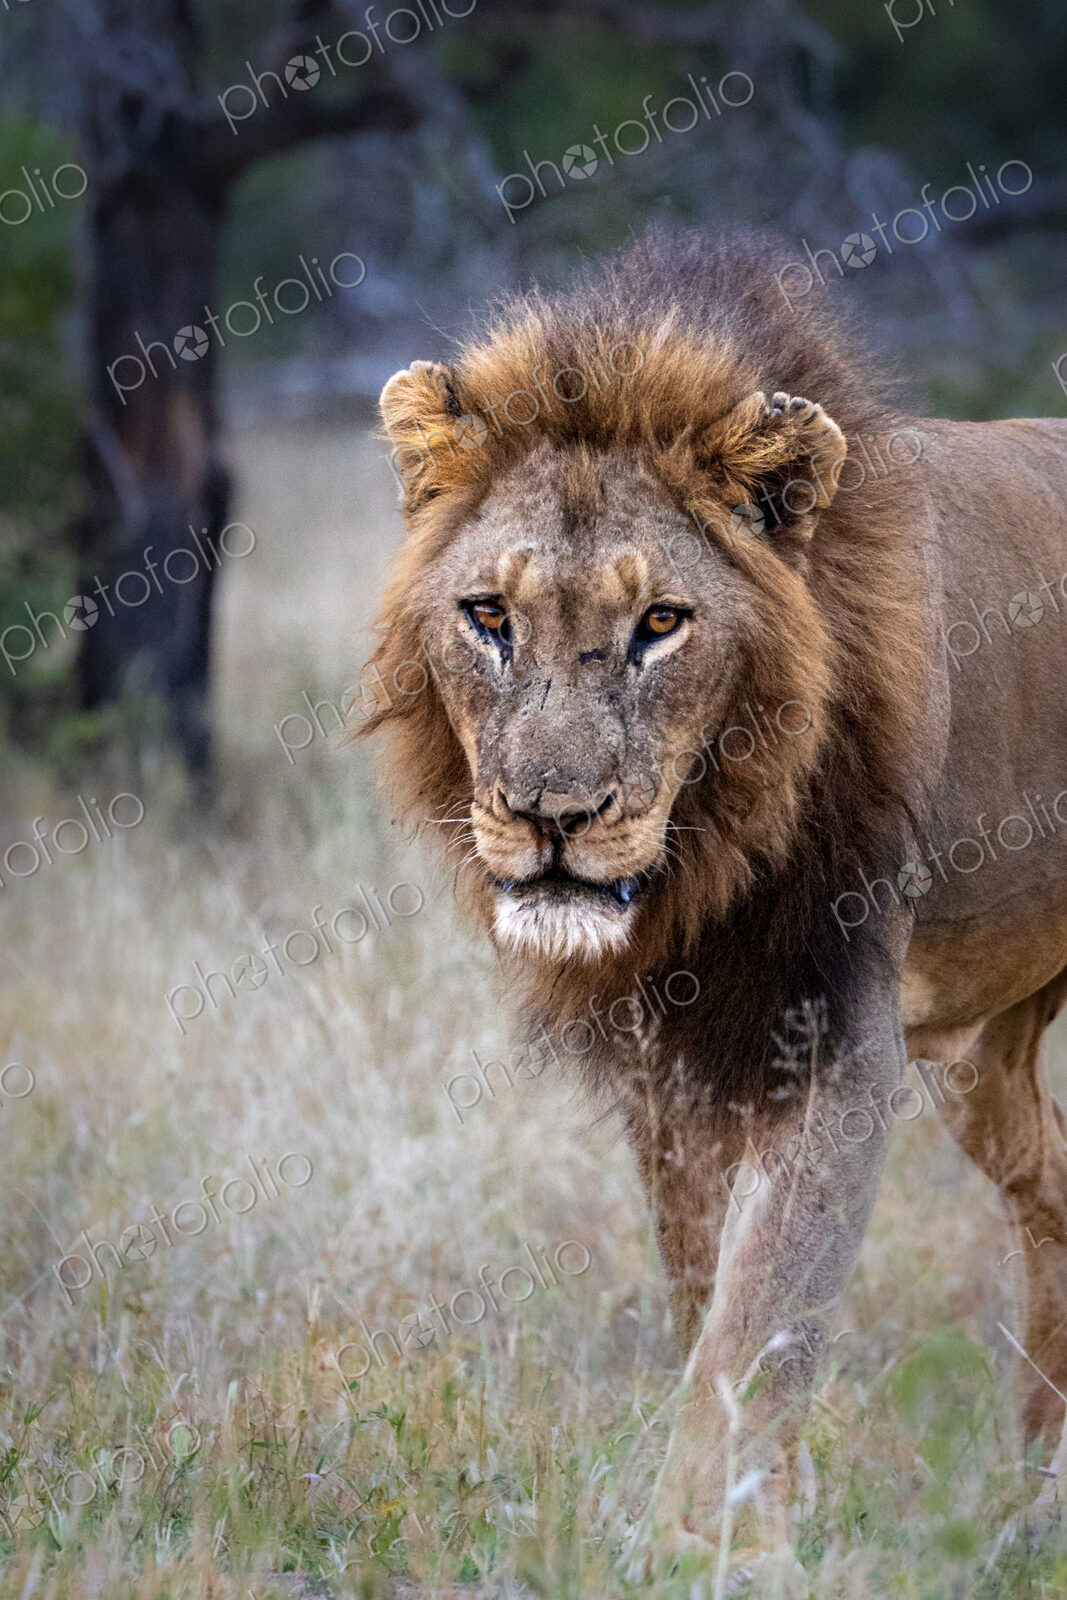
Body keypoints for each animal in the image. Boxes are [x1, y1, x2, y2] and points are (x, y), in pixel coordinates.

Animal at [359, 227, 1067, 1578]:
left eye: (659, 623)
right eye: (488, 616)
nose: (552, 817)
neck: (713, 857)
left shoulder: (835, 1042)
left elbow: (757, 1322)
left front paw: (710, 1547)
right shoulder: (672, 1068)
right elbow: (706, 1302)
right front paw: (751, 1519)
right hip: (978, 1052)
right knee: (1053, 1181)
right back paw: (1034, 1495)